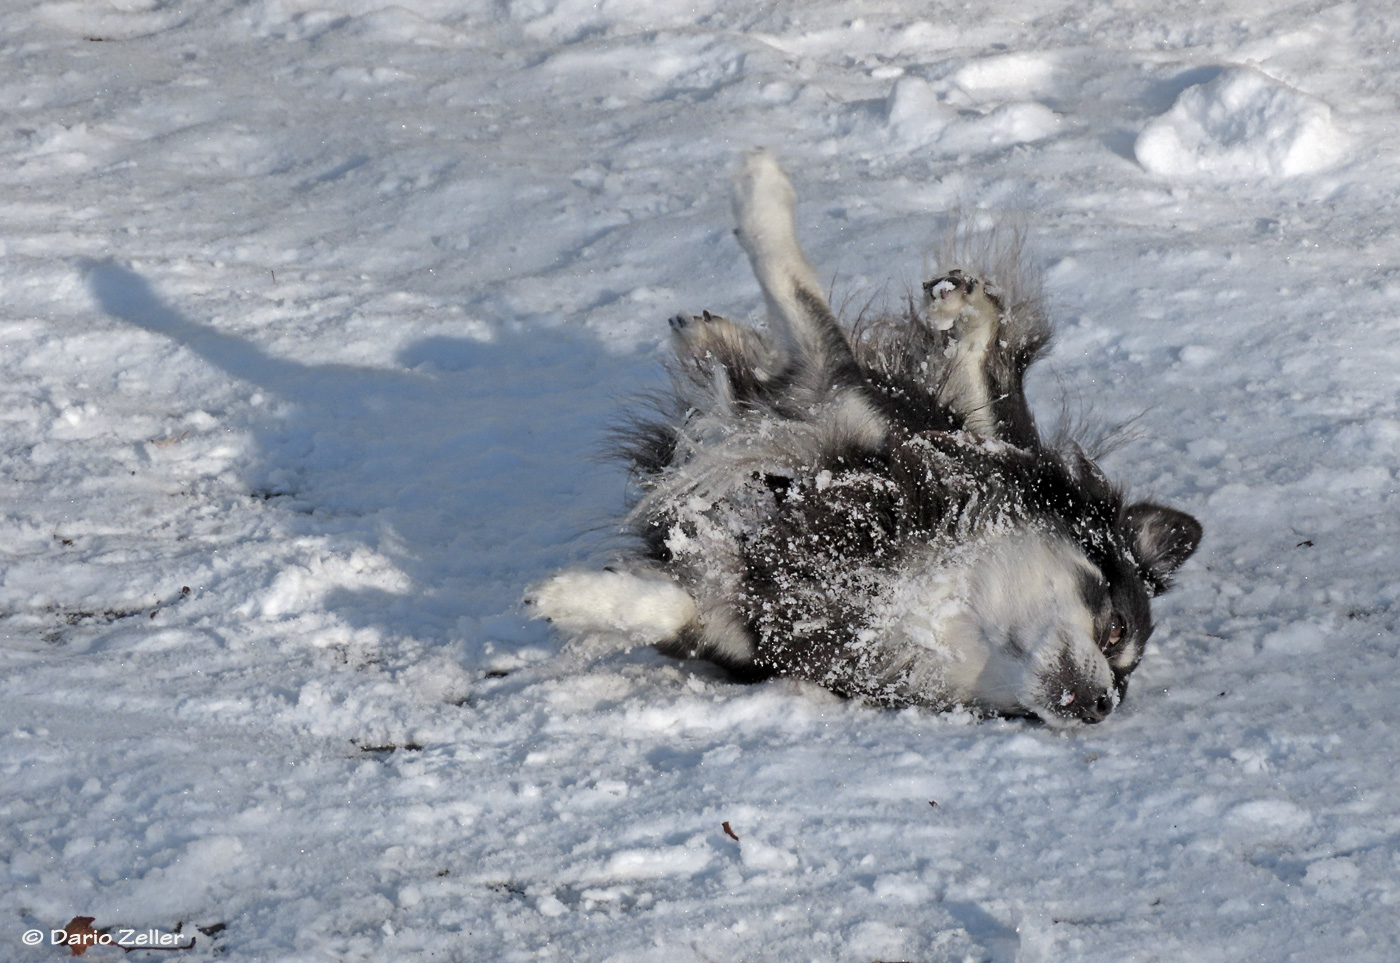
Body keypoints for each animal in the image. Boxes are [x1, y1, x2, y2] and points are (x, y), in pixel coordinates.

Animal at [529, 150, 1209, 727]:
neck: (931, 595)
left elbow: (669, 609)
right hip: (941, 419)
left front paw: (568, 597)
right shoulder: (838, 396)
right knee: (985, 371)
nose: (1103, 707)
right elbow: (798, 289)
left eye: (1126, 680)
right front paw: (761, 188)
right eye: (1115, 630)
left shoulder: (751, 633)